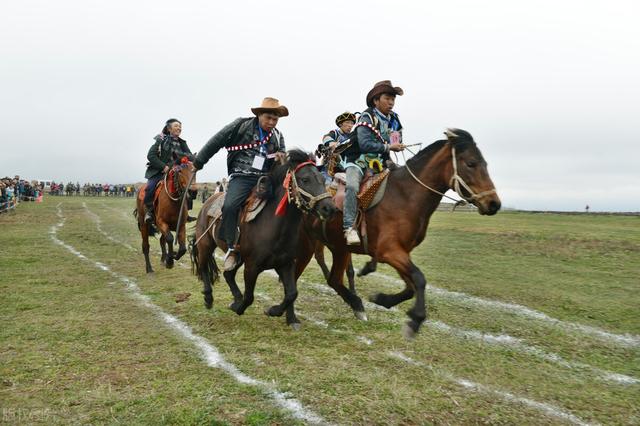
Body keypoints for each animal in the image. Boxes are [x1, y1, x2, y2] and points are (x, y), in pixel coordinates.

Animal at [190, 150, 338, 330]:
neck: (274, 227)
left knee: (228, 274)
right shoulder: (252, 266)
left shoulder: (286, 264)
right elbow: (249, 297)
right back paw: (209, 298)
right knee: (204, 267)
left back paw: (235, 299)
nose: (329, 208)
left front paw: (275, 312)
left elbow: (292, 293)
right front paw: (240, 308)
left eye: (323, 179)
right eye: (305, 179)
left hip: (237, 257)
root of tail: (207, 203)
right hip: (205, 245)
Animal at [296, 128, 500, 338]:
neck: (405, 196)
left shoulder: (400, 252)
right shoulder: (390, 251)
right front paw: (416, 319)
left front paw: (381, 299)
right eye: (471, 163)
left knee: (334, 279)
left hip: (340, 248)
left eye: (485, 163)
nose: (494, 203)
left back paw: (357, 306)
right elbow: (419, 278)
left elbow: (411, 287)